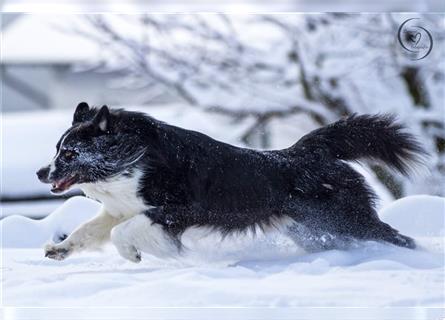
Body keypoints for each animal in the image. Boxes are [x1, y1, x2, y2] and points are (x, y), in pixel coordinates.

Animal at [37, 102, 424, 262]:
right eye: (57, 149)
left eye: (69, 153)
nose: (41, 173)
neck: (136, 158)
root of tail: (305, 152)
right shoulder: (122, 208)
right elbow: (89, 229)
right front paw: (61, 249)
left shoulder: (178, 211)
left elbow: (122, 233)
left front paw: (136, 254)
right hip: (314, 229)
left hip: (347, 219)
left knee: (399, 238)